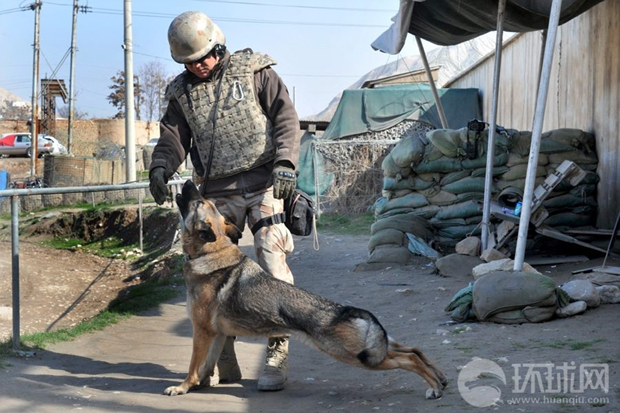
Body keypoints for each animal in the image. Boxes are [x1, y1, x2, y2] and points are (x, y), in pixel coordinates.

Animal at [165, 180, 447, 399]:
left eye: (198, 203)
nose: (187, 182)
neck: (210, 253)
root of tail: (351, 311)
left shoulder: (202, 331)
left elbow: (193, 364)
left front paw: (182, 387)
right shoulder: (217, 334)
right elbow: (206, 364)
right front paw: (199, 384)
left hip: (357, 356)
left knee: (409, 359)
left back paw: (434, 387)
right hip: (373, 350)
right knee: (413, 349)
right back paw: (440, 378)